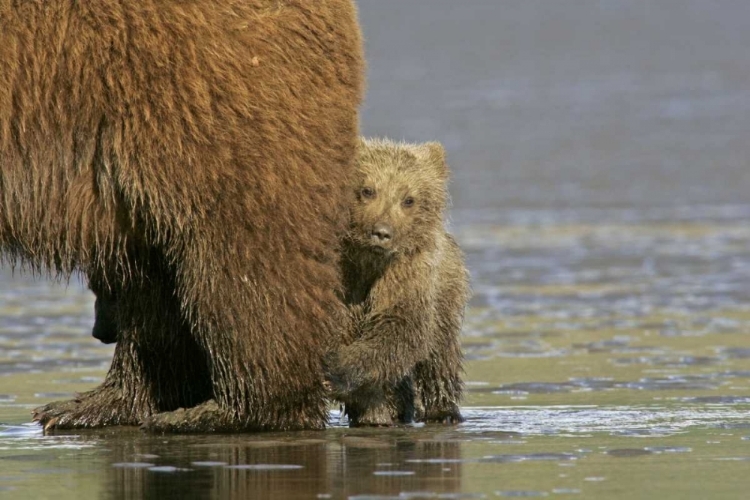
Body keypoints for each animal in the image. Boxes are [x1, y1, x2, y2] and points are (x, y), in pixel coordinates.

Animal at [328, 140, 470, 426]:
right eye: (367, 190)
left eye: (409, 199)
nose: (382, 232)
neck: (367, 261)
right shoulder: (343, 276)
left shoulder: (408, 273)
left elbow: (400, 328)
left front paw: (338, 370)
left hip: (446, 294)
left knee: (439, 356)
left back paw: (442, 411)